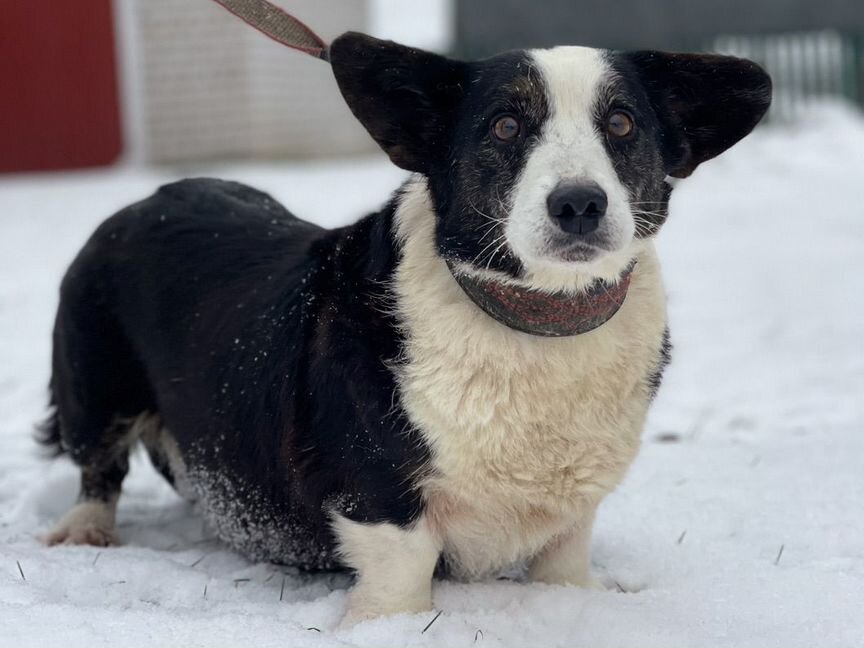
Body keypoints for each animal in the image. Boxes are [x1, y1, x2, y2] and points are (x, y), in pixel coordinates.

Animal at [37, 33, 772, 624]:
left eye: (621, 122)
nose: (579, 205)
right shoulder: (381, 498)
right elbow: (403, 572)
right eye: (505, 126)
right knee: (97, 467)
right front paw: (386, 627)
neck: (536, 321)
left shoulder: (571, 517)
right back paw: (83, 532)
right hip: (95, 383)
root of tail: (147, 200)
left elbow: (563, 564)